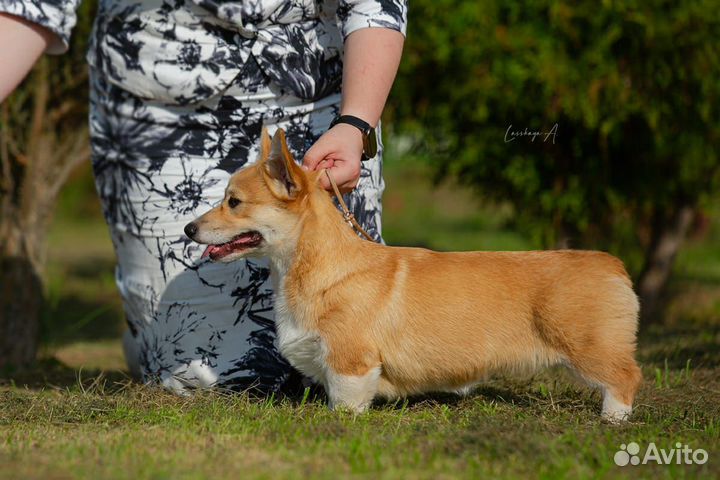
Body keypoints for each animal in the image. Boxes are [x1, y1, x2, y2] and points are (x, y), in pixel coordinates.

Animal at [184, 127, 640, 420]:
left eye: (233, 202)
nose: (188, 229)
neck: (314, 266)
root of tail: (613, 263)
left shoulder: (351, 361)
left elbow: (345, 401)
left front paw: (338, 423)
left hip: (588, 345)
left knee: (625, 377)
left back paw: (612, 420)